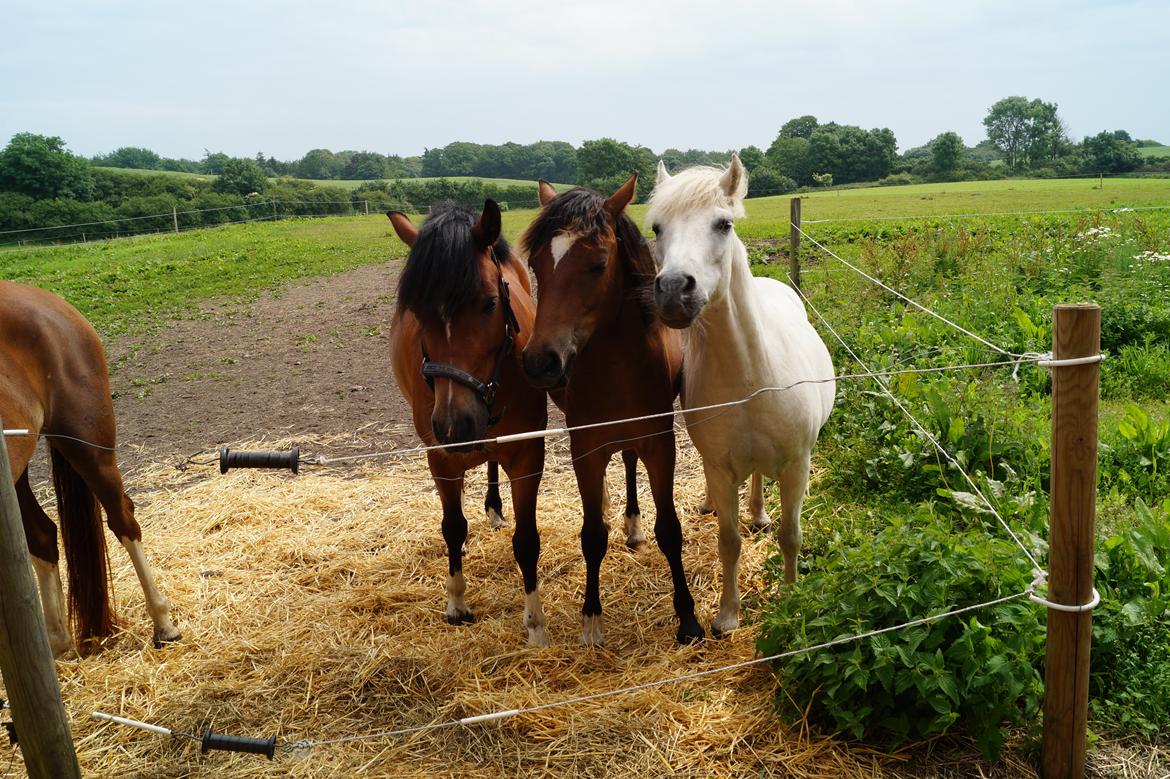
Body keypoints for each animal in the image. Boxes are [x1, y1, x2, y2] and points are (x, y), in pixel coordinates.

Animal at [0, 279, 180, 655]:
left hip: (88, 446)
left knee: (123, 519)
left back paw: (164, 624)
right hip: (17, 475)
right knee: (41, 535)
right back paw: (57, 646)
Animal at [386, 198, 554, 640]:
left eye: (489, 303)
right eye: (416, 312)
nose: (454, 425)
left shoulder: (527, 452)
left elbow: (527, 540)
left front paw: (535, 623)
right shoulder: (441, 456)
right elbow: (452, 526)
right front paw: (456, 602)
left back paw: (494, 507)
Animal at [524, 174, 702, 640]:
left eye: (598, 264)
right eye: (535, 264)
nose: (541, 362)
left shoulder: (659, 443)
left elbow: (669, 529)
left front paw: (688, 618)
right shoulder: (585, 449)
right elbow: (592, 535)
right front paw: (591, 617)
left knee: (628, 460)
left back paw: (633, 524)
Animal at [645, 154, 837, 636]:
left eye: (723, 224)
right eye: (657, 227)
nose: (673, 290)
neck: (749, 378)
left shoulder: (797, 464)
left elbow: (791, 534)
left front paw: (790, 597)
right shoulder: (718, 467)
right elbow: (728, 541)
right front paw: (727, 615)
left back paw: (759, 512)